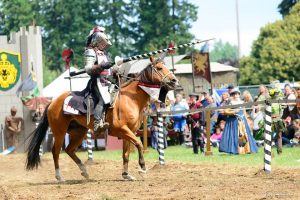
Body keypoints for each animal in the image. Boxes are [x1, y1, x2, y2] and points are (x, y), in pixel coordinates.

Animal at [25, 57, 177, 181]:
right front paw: (142, 167)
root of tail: (53, 102)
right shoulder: (122, 130)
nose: (174, 80)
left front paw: (126, 175)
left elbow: (126, 154)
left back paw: (84, 171)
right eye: (159, 68)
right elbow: (139, 144)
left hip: (79, 132)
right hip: (59, 132)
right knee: (56, 151)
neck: (130, 99)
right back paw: (59, 176)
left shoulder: (129, 132)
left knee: (69, 150)